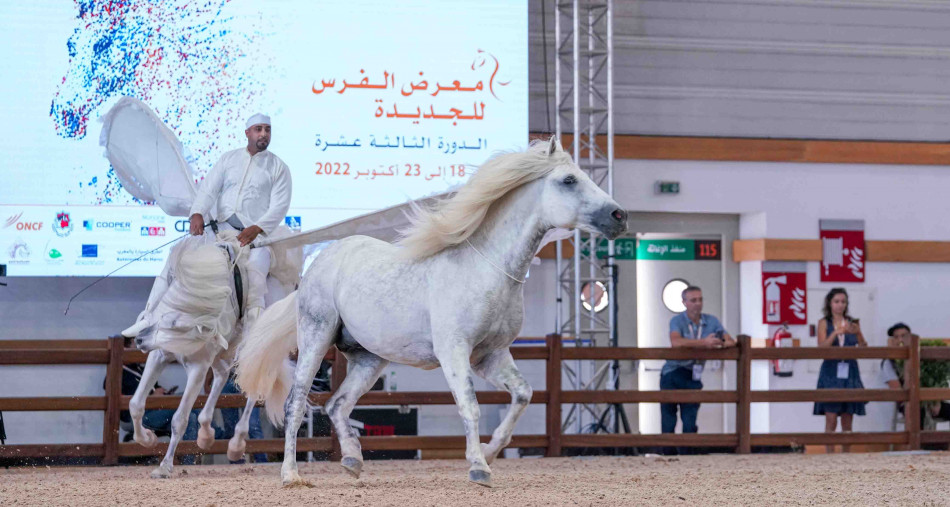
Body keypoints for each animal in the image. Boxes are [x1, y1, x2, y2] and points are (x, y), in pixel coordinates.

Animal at [121, 231, 298, 478]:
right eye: (163, 312)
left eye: (175, 324)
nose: (139, 340)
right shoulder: (159, 356)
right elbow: (135, 405)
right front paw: (147, 438)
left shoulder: (198, 366)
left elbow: (179, 419)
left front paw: (164, 466)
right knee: (221, 376)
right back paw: (205, 434)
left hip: (255, 350)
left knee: (252, 385)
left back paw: (236, 444)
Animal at [236, 136, 628, 487]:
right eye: (569, 180)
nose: (619, 216)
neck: (486, 269)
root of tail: (317, 266)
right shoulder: (454, 351)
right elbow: (470, 406)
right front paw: (479, 469)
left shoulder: (491, 356)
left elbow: (523, 394)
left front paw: (491, 451)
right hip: (316, 338)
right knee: (296, 404)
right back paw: (291, 475)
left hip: (369, 358)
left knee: (337, 404)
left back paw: (353, 460)